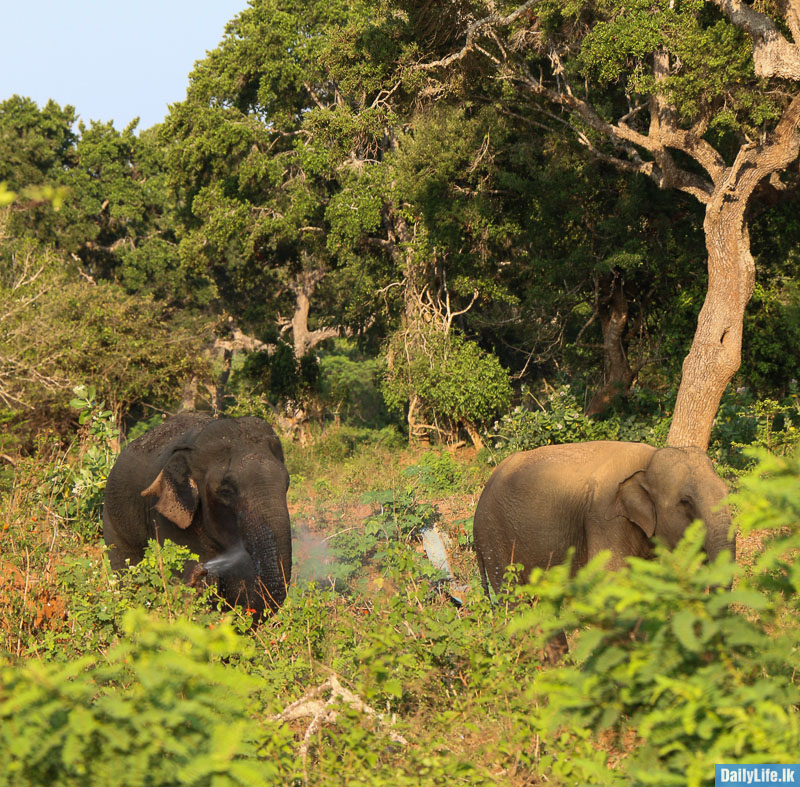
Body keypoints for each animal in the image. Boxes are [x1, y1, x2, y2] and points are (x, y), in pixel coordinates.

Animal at [474, 441, 735, 596]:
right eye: (685, 502)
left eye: (727, 491)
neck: (649, 460)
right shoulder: (604, 517)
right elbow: (611, 579)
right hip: (494, 540)